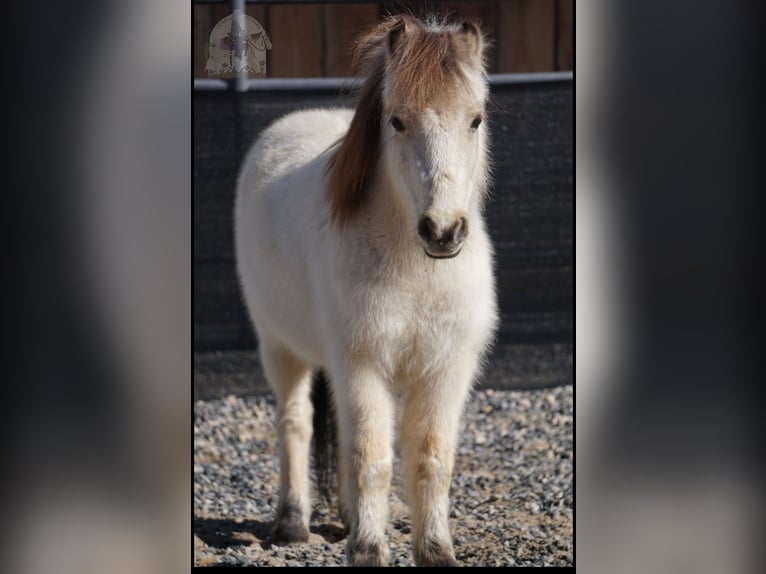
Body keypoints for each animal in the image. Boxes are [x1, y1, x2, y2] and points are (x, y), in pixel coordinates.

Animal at [236, 15, 498, 568]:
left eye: (475, 119)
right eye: (396, 121)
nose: (443, 231)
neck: (417, 270)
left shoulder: (446, 369)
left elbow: (430, 458)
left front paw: (434, 550)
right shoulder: (362, 365)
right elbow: (372, 459)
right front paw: (369, 550)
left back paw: (345, 518)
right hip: (280, 348)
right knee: (295, 422)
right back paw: (293, 523)